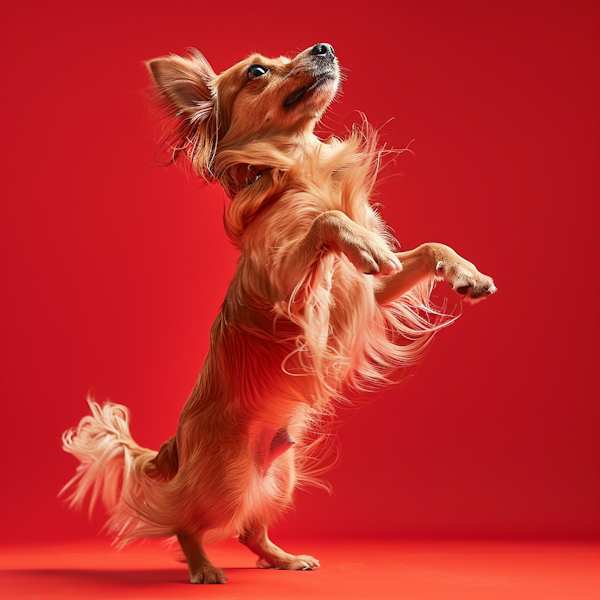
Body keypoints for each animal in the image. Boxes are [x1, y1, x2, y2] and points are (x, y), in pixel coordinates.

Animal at [59, 43, 496, 584]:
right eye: (256, 71)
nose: (323, 47)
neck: (298, 167)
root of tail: (173, 449)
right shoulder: (286, 290)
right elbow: (328, 222)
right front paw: (360, 241)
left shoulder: (370, 291)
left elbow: (430, 246)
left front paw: (467, 275)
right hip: (225, 481)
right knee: (184, 521)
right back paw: (203, 567)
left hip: (280, 473)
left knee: (250, 530)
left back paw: (283, 558)